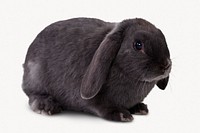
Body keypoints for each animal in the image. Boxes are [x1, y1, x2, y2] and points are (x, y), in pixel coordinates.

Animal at [22, 17, 172, 121]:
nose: (166, 65)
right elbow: (100, 106)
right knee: (32, 96)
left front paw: (140, 108)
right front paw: (121, 114)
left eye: (163, 39)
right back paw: (47, 106)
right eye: (138, 44)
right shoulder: (93, 100)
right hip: (36, 78)